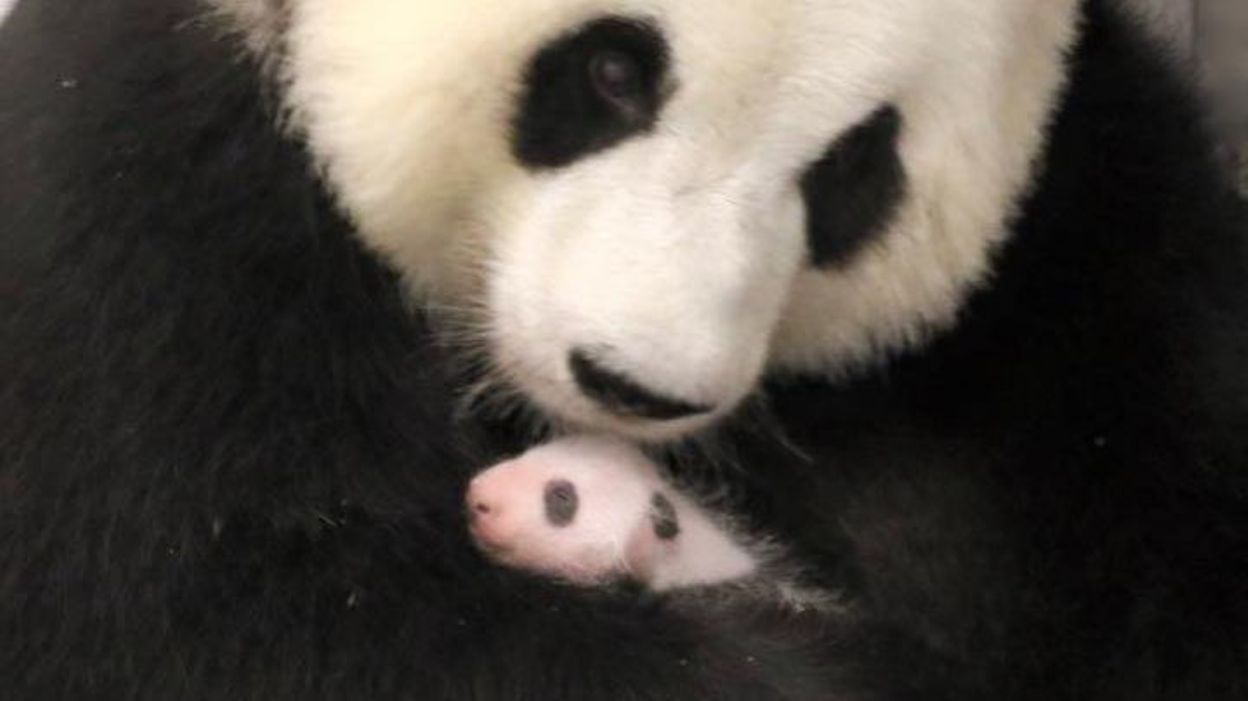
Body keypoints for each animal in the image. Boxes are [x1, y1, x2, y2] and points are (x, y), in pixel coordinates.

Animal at [2, 0, 1248, 693]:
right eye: (612, 72)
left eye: (857, 161)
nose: (633, 383)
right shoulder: (151, 215)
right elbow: (214, 611)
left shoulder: (1087, 252)